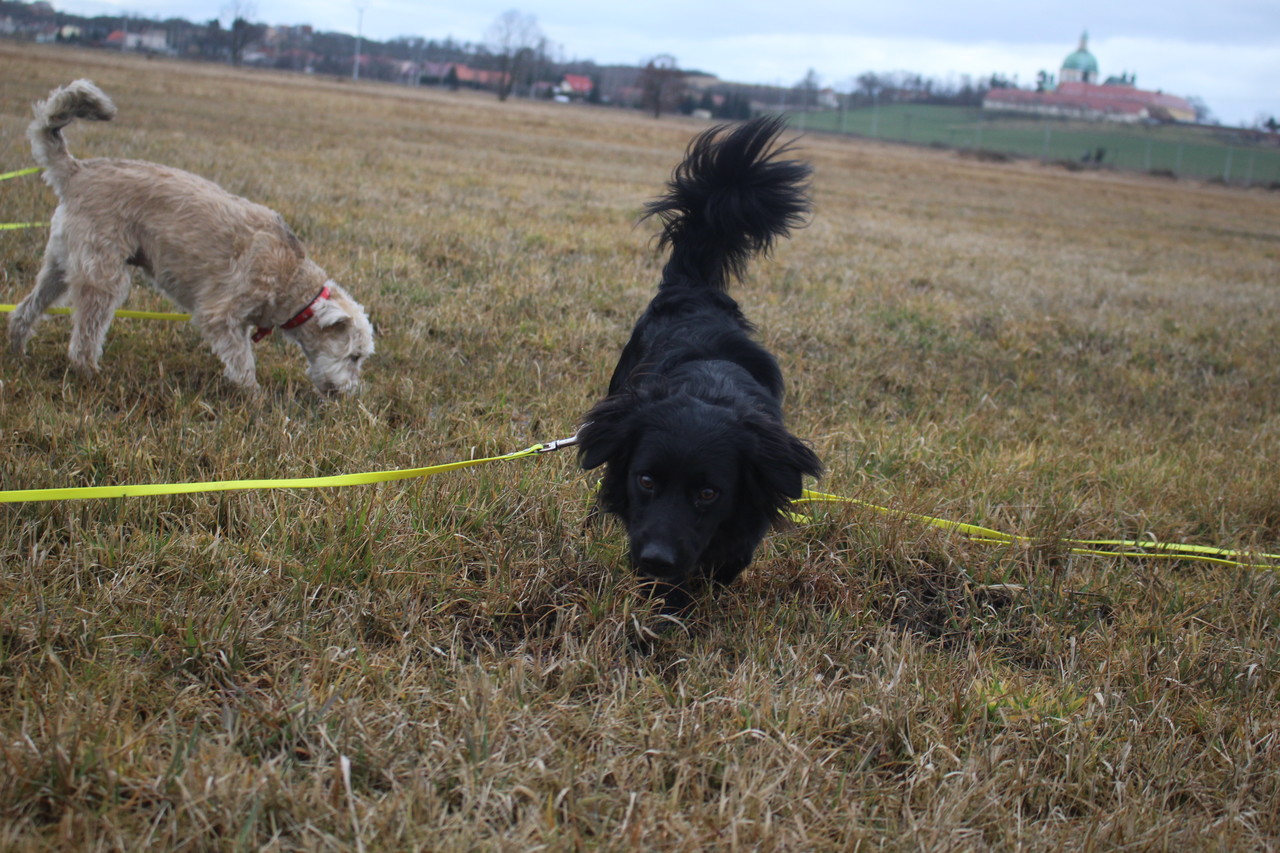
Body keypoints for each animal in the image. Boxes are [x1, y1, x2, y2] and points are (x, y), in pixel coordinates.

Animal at [7, 80, 374, 395]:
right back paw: (89, 373)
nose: (350, 395)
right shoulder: (221, 314)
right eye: (354, 356)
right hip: (102, 275)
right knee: (85, 335)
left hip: (60, 263)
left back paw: (17, 353)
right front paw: (254, 396)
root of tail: (76, 171)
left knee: (26, 309)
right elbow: (243, 361)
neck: (293, 281)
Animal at [577, 116, 823, 613]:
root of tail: (691, 290)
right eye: (646, 480)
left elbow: (733, 555)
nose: (656, 559)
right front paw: (665, 603)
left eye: (709, 493)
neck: (707, 391)